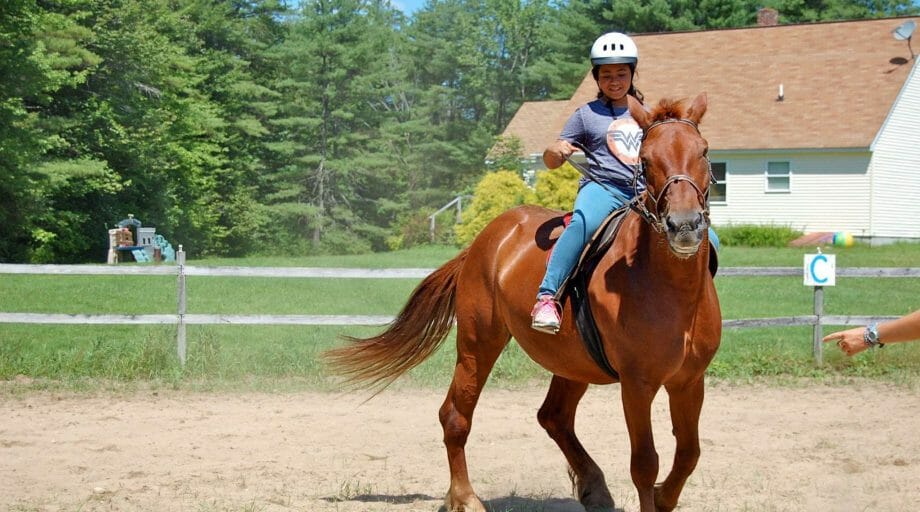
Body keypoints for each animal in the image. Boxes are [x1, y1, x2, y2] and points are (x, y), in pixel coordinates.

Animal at [325, 92, 722, 512]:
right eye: (645, 159)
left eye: (703, 151)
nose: (684, 225)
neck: (671, 291)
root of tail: (484, 240)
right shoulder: (637, 384)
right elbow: (645, 462)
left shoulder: (689, 381)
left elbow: (689, 452)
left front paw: (663, 496)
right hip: (478, 344)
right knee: (455, 417)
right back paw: (465, 498)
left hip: (571, 361)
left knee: (554, 417)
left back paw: (593, 488)